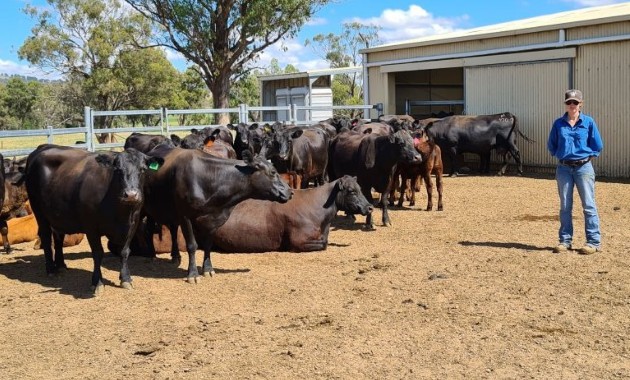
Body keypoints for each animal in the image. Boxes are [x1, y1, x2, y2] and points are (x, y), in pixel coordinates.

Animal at [22, 144, 163, 296]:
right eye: (118, 169)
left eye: (142, 169)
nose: (131, 195)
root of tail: (43, 147)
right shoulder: (91, 227)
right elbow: (97, 253)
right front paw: (98, 282)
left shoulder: (132, 224)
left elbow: (125, 251)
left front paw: (126, 279)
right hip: (39, 213)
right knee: (47, 238)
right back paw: (50, 269)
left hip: (58, 215)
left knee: (58, 237)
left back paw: (61, 265)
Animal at [142, 145, 292, 282]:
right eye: (273, 172)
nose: (290, 191)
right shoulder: (185, 216)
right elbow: (192, 245)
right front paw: (193, 274)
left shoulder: (213, 219)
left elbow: (208, 244)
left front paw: (208, 269)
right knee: (148, 229)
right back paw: (152, 255)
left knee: (173, 229)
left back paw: (175, 255)